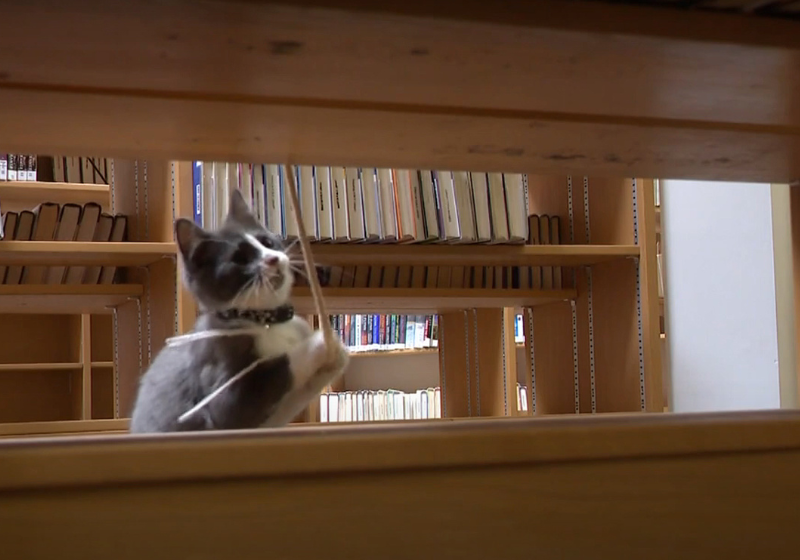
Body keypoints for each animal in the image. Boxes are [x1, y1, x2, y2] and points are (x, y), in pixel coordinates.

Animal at [129, 188, 346, 434]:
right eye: (239, 259)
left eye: (267, 242)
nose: (273, 259)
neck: (266, 322)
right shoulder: (223, 395)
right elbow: (279, 369)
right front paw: (321, 343)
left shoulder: (273, 418)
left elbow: (295, 399)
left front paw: (336, 356)